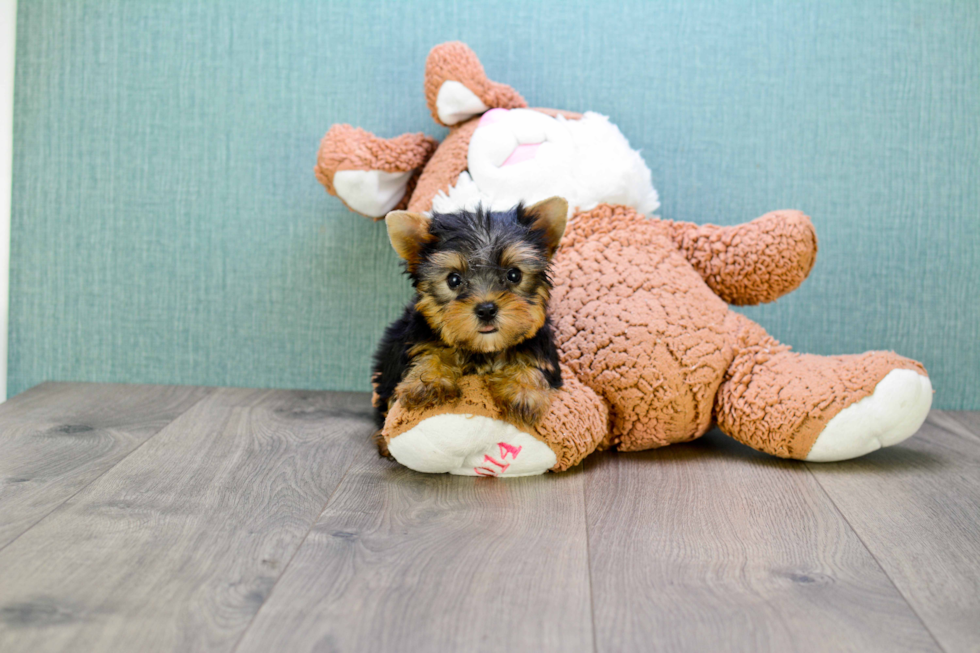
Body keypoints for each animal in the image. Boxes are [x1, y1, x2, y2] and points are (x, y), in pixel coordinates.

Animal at [370, 196, 568, 436]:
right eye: (453, 280)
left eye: (514, 275)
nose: (486, 309)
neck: (483, 349)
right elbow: (431, 353)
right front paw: (429, 381)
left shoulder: (542, 351)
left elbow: (531, 364)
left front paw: (523, 391)